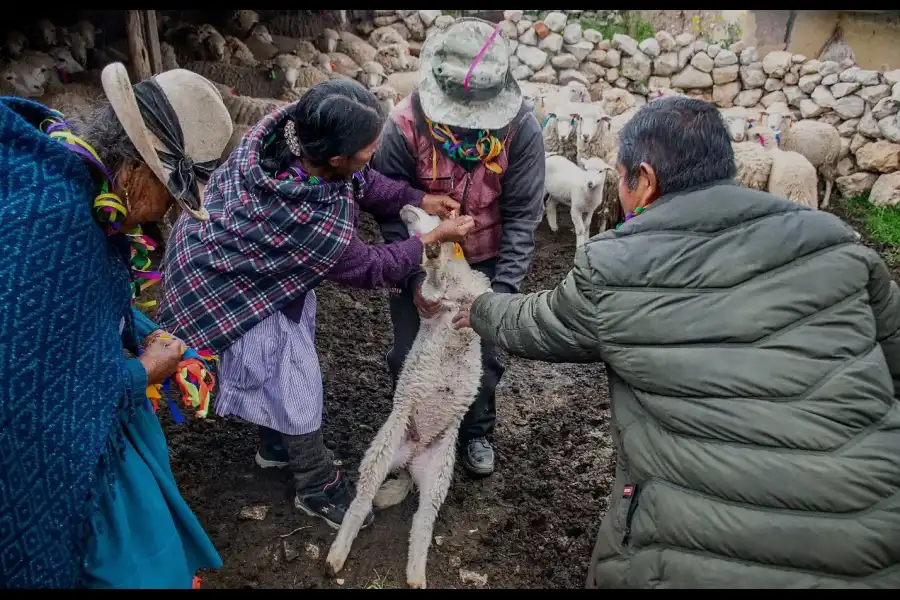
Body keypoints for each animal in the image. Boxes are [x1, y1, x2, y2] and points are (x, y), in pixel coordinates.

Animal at [326, 204, 492, 588]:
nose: (405, 207)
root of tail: (411, 459)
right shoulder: (429, 300)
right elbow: (431, 283)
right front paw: (429, 253)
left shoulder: (472, 295)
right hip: (383, 450)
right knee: (361, 503)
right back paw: (336, 557)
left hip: (438, 474)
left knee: (422, 523)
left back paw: (416, 574)